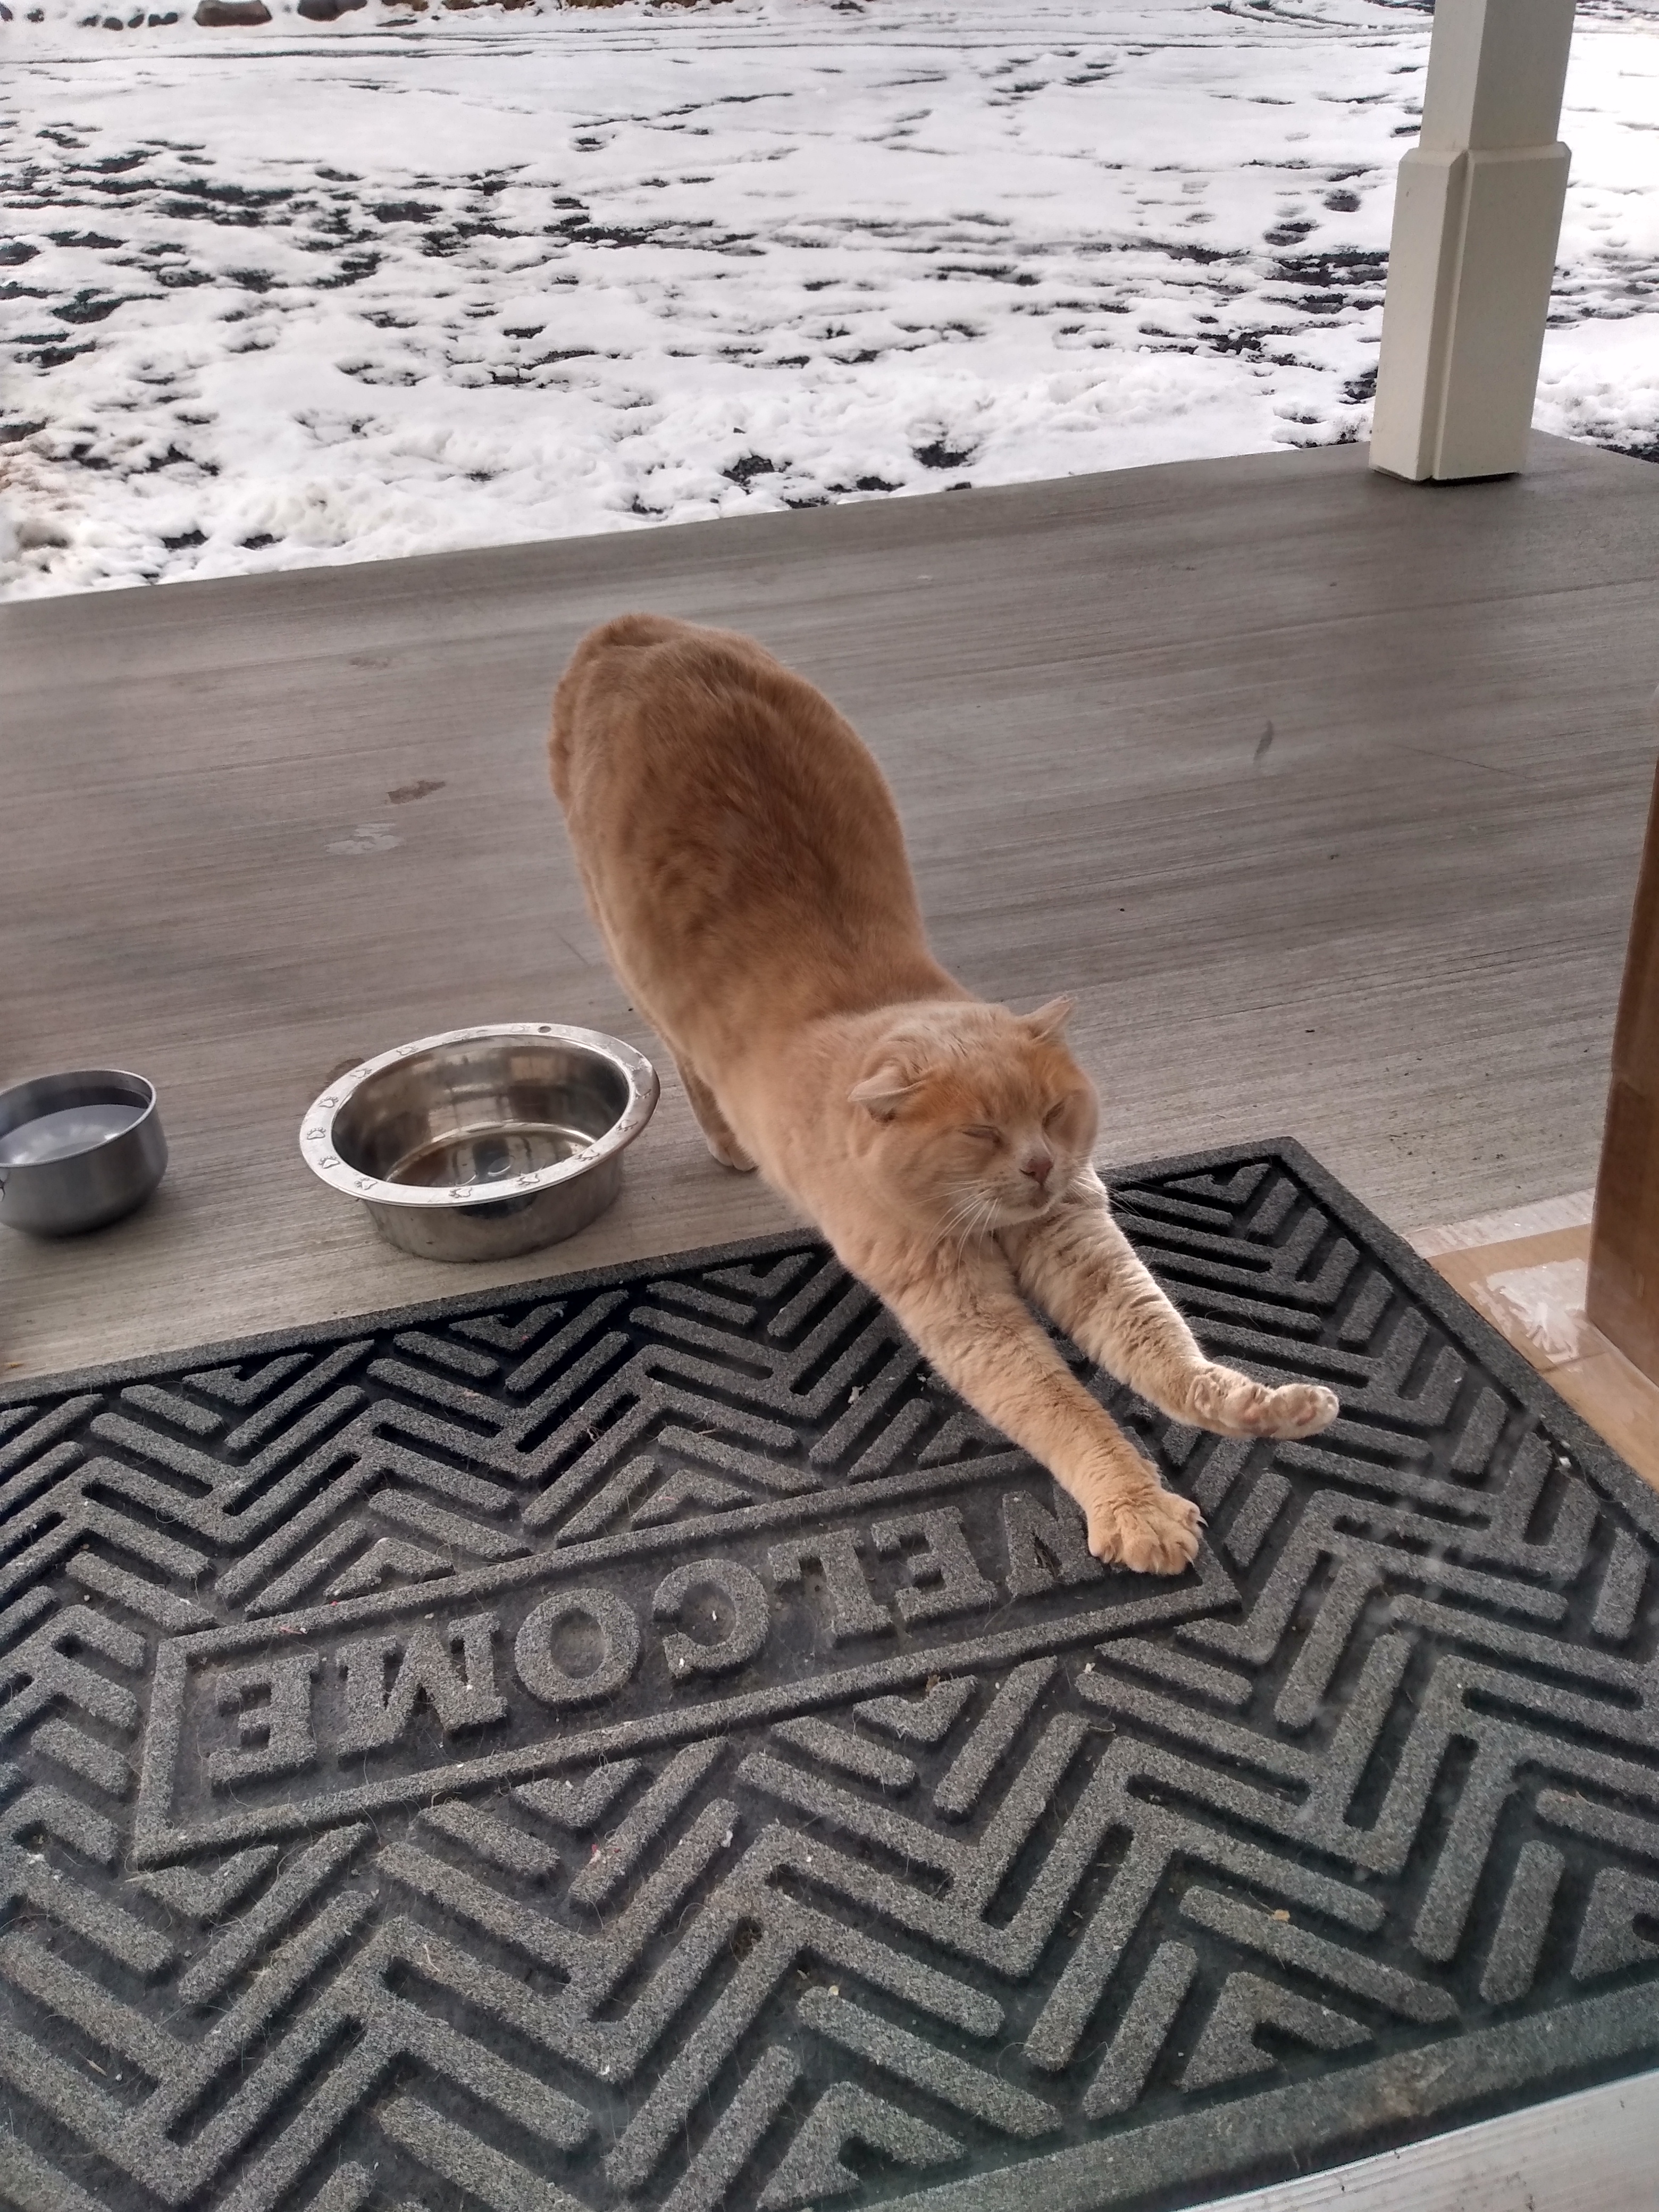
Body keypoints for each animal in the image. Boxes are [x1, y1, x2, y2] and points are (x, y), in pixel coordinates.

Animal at [550, 613, 1340, 1575]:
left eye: (1050, 1115)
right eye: (980, 1133)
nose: (1039, 1165)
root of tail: (640, 629)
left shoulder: (1079, 1238)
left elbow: (1159, 1344)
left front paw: (1253, 1408)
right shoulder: (961, 1309)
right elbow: (1064, 1408)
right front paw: (1137, 1507)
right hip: (631, 962)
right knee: (684, 1060)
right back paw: (728, 1142)